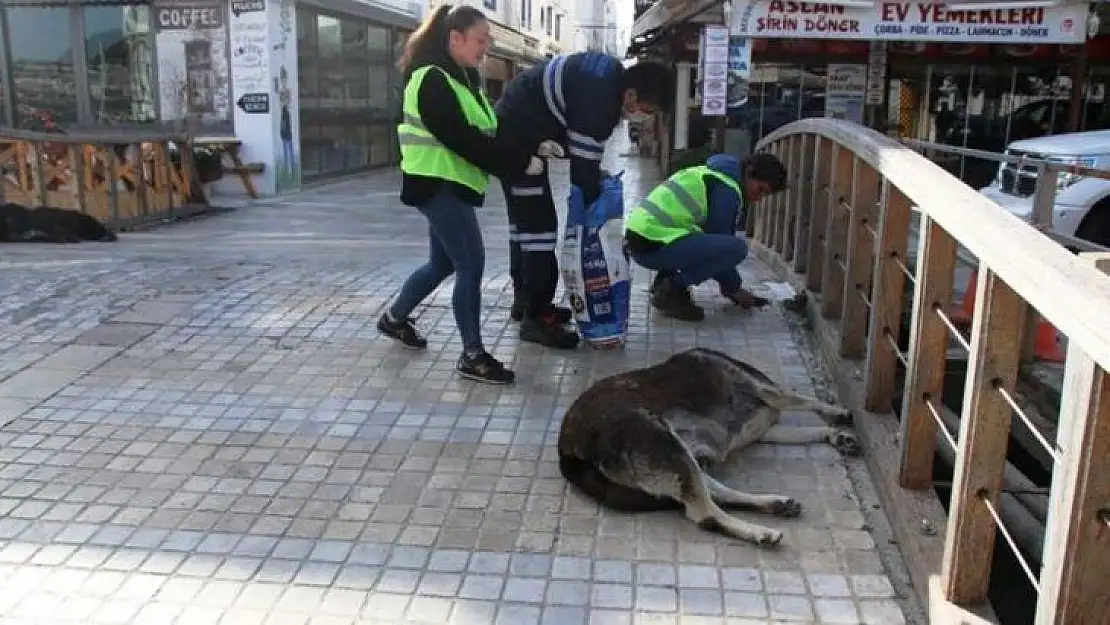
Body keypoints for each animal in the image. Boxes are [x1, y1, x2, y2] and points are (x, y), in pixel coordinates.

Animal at [563, 346, 856, 548]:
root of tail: (568, 448)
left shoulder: (764, 432)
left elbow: (806, 429)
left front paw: (836, 435)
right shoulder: (768, 391)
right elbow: (804, 399)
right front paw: (839, 412)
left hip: (679, 458)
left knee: (714, 493)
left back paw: (775, 504)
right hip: (666, 446)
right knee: (704, 514)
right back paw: (760, 531)